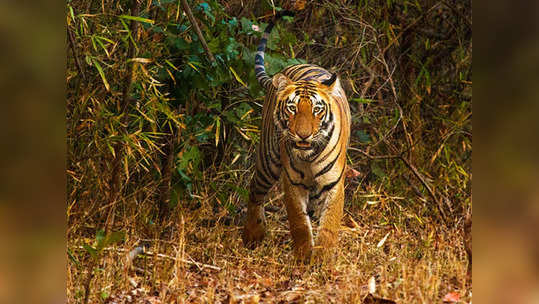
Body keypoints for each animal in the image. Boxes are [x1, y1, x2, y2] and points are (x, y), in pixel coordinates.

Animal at [243, 10, 352, 260]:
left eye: (317, 109)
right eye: (292, 108)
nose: (303, 135)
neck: (309, 156)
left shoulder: (333, 183)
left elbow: (328, 225)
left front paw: (323, 259)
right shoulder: (291, 182)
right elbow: (299, 224)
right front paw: (303, 257)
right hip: (268, 160)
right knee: (255, 191)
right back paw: (252, 235)